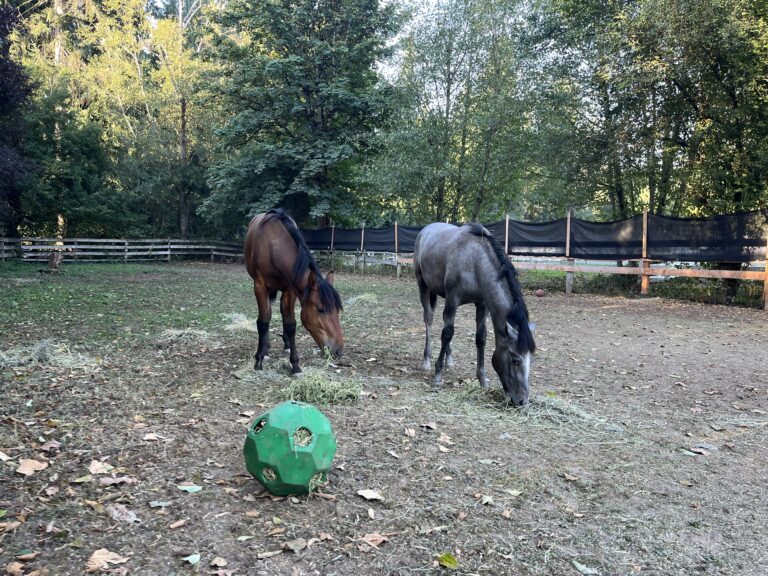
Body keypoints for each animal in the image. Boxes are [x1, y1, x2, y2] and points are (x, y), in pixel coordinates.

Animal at [244, 209, 343, 374]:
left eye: (337, 310)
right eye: (320, 310)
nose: (338, 351)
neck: (273, 245)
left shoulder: (290, 289)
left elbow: (290, 324)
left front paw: (295, 365)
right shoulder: (259, 287)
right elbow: (263, 322)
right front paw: (258, 359)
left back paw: (287, 345)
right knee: (267, 315)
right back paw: (265, 349)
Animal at [414, 222, 536, 405]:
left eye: (531, 360)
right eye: (516, 360)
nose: (522, 401)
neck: (475, 262)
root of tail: (425, 230)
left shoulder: (481, 304)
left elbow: (481, 338)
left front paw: (482, 379)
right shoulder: (453, 299)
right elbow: (447, 333)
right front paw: (437, 375)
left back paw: (449, 359)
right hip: (423, 285)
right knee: (429, 319)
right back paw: (427, 360)